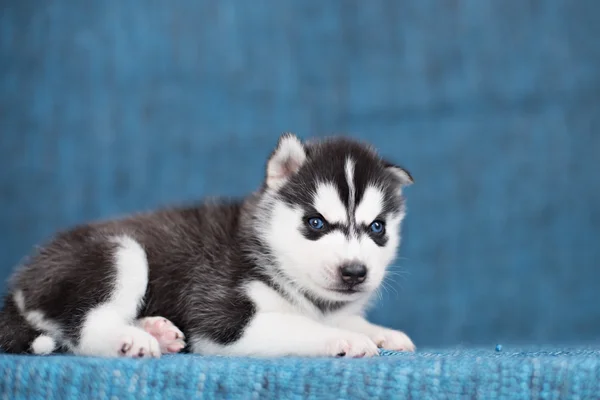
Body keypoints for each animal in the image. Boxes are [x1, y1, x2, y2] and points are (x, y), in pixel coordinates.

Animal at [0, 134, 414, 360]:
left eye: (377, 228)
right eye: (316, 223)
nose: (355, 272)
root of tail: (21, 283)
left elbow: (336, 317)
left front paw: (379, 330)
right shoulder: (220, 318)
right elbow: (300, 324)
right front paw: (348, 338)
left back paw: (157, 330)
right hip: (119, 252)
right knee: (86, 326)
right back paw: (128, 338)